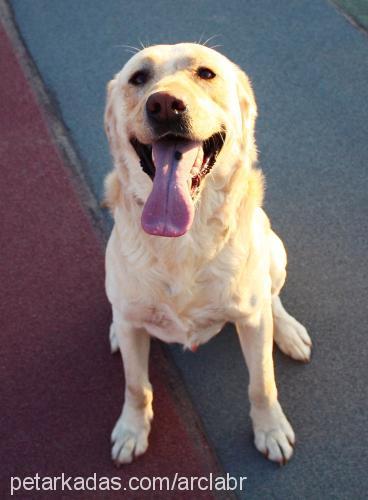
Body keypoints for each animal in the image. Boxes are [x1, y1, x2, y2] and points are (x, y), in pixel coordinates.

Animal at [104, 42, 314, 464]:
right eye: (138, 78)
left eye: (206, 73)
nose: (165, 105)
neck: (183, 241)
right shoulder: (133, 323)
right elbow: (136, 386)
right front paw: (132, 430)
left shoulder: (252, 320)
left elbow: (262, 382)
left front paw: (270, 429)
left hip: (274, 250)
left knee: (272, 297)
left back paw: (288, 331)